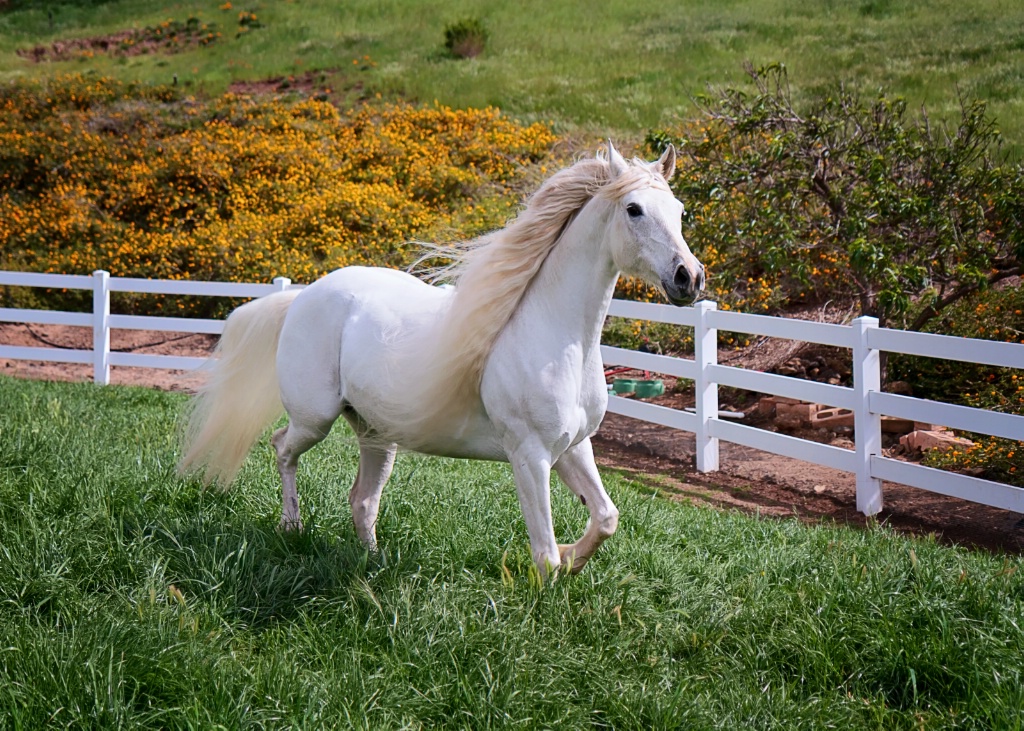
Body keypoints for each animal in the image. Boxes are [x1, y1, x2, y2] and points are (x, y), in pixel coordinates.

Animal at [180, 141, 704, 573]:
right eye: (634, 209)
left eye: (679, 210)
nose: (690, 278)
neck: (557, 338)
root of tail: (303, 296)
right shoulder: (530, 455)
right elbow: (544, 555)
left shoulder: (574, 447)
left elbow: (606, 518)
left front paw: (576, 555)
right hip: (316, 418)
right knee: (281, 447)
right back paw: (292, 527)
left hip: (376, 434)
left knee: (362, 500)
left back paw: (372, 563)